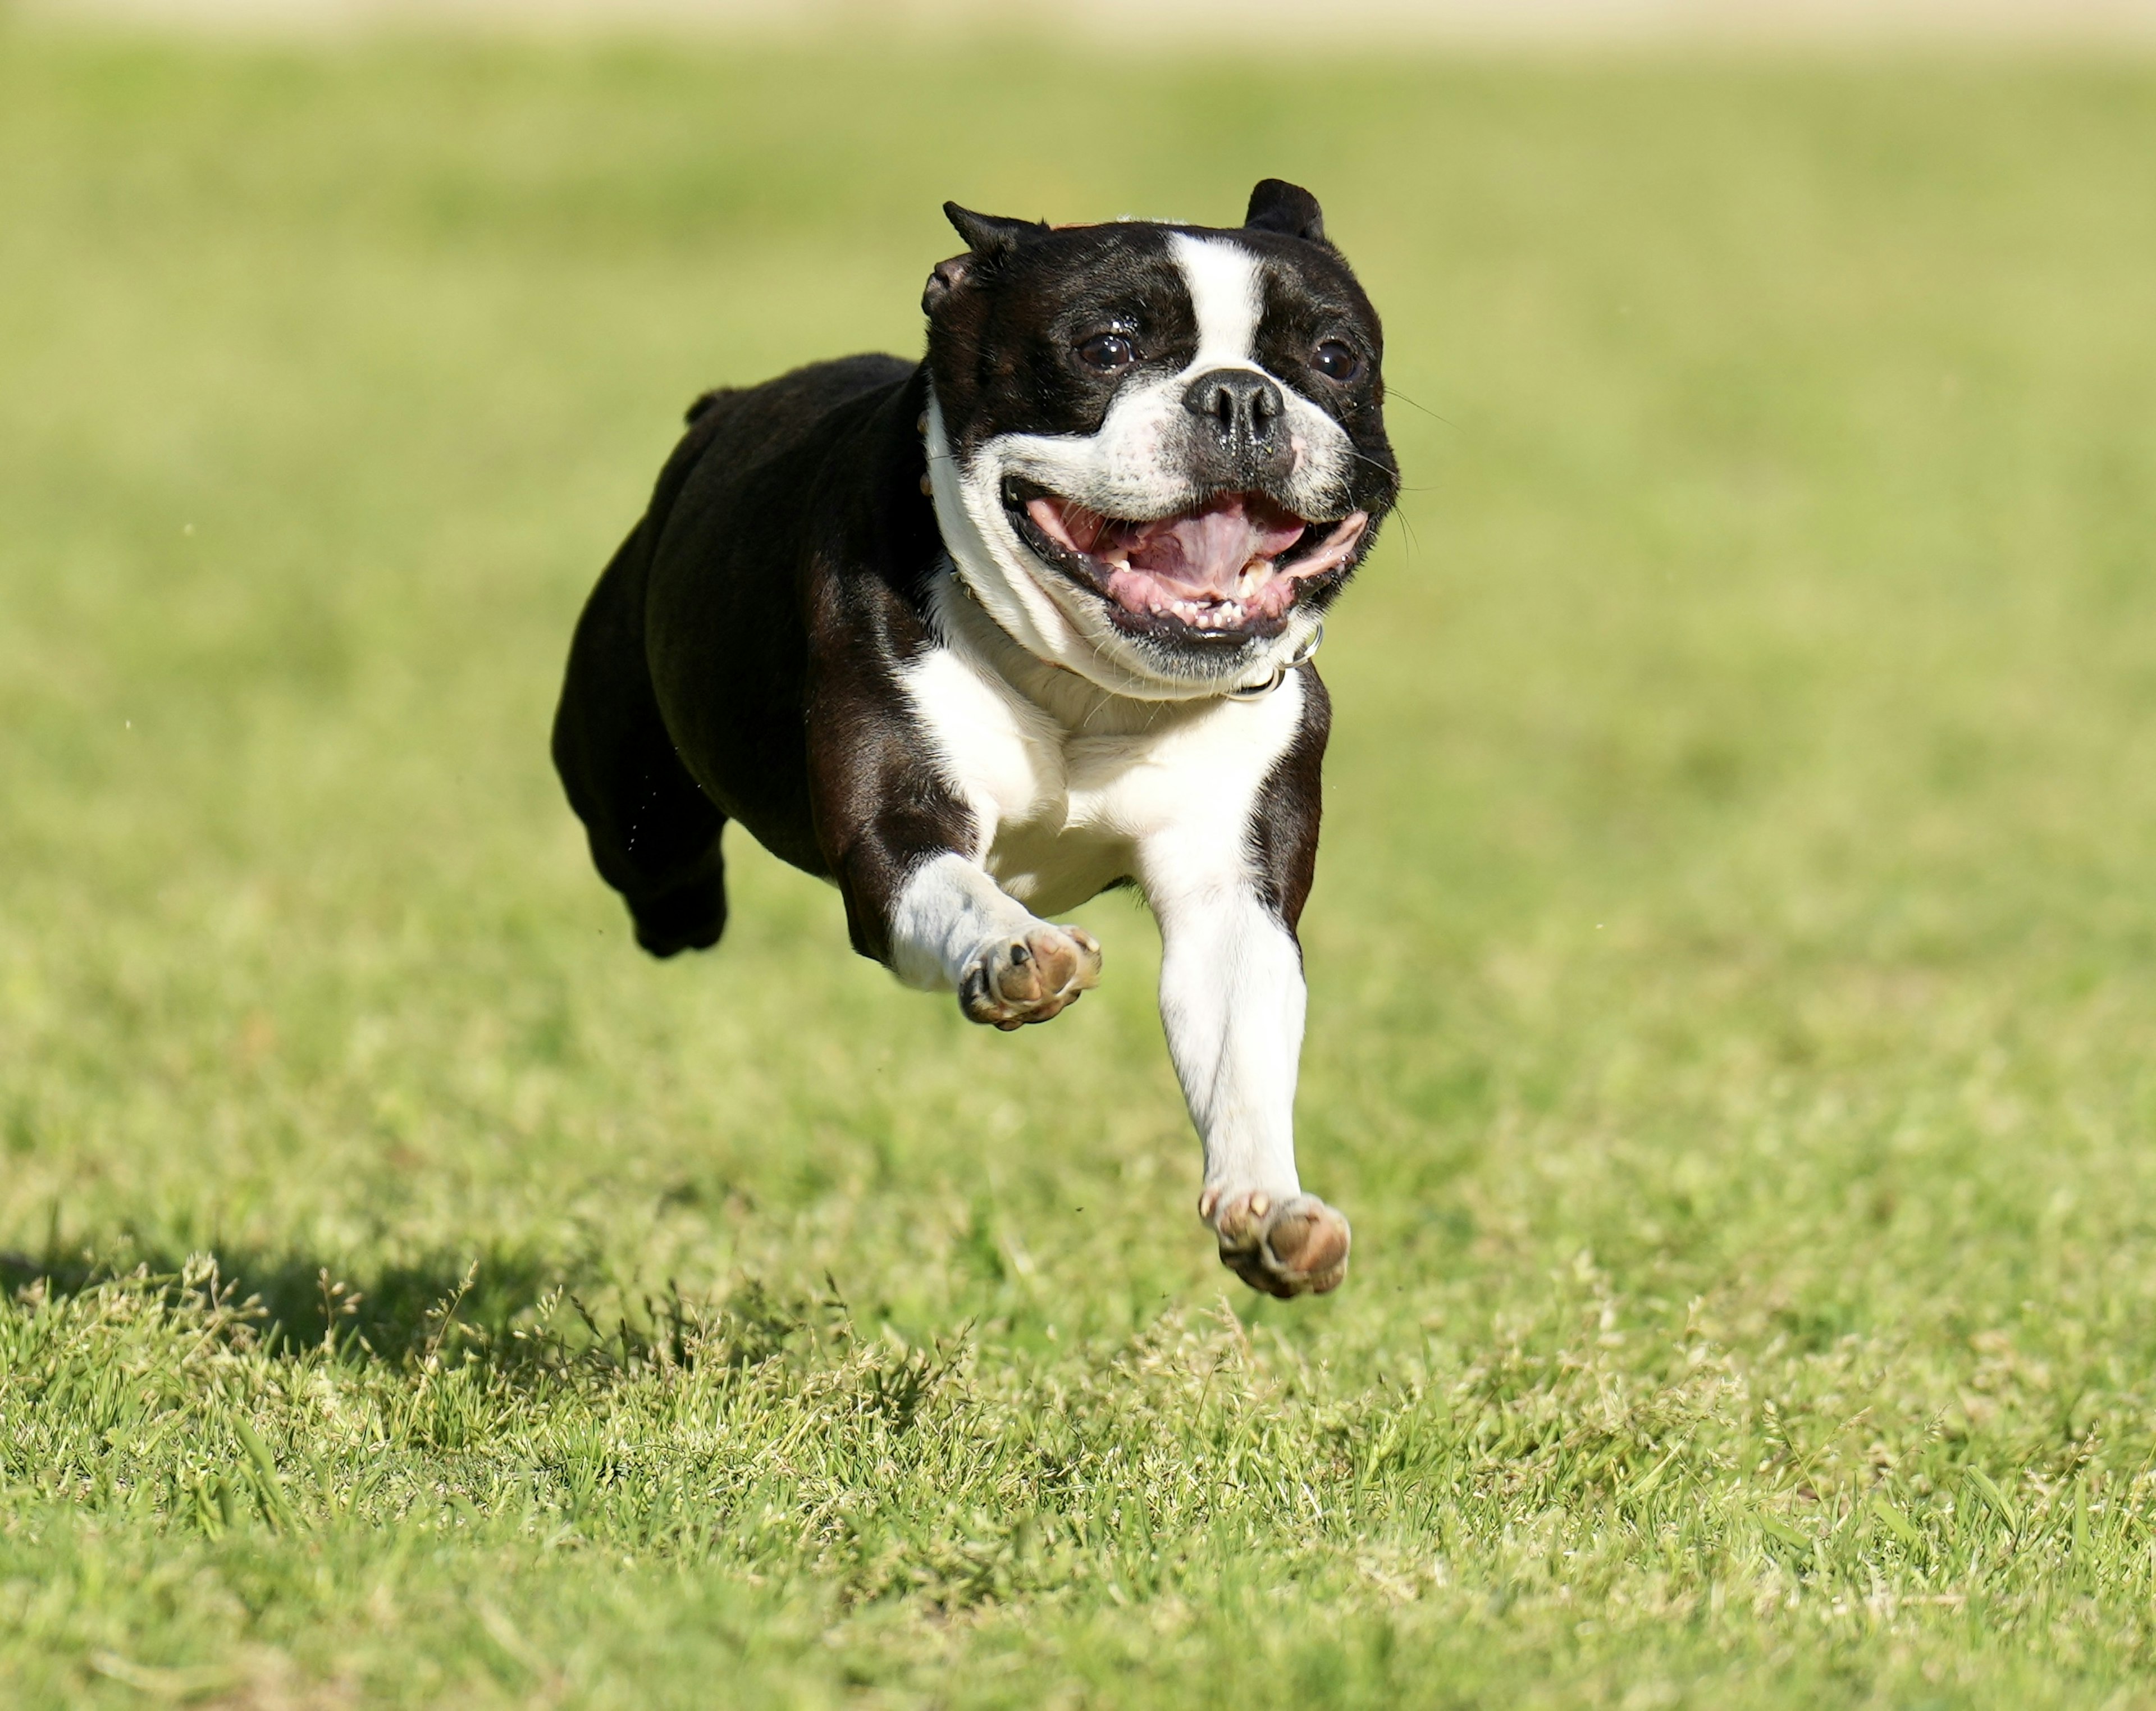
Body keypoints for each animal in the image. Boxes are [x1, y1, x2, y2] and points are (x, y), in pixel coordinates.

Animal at [556, 177, 1397, 1294]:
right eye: (1106, 346)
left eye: (1336, 357)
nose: (1240, 397)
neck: (1089, 683)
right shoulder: (893, 836)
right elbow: (952, 883)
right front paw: (1014, 949)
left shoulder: (1232, 890)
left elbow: (1242, 1044)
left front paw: (1271, 1207)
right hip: (640, 819)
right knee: (665, 881)